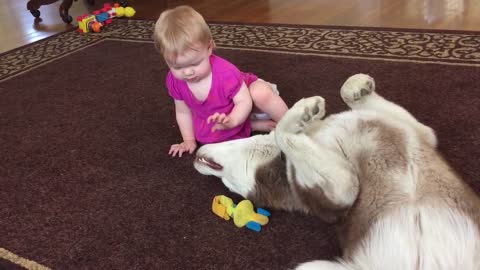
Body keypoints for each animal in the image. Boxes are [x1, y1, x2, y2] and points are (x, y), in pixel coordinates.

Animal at [193, 74, 478, 270]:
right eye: (232, 189)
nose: (195, 156)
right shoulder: (341, 194)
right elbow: (285, 132)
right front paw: (299, 113)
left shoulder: (423, 134)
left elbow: (346, 89)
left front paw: (357, 87)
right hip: (312, 266)